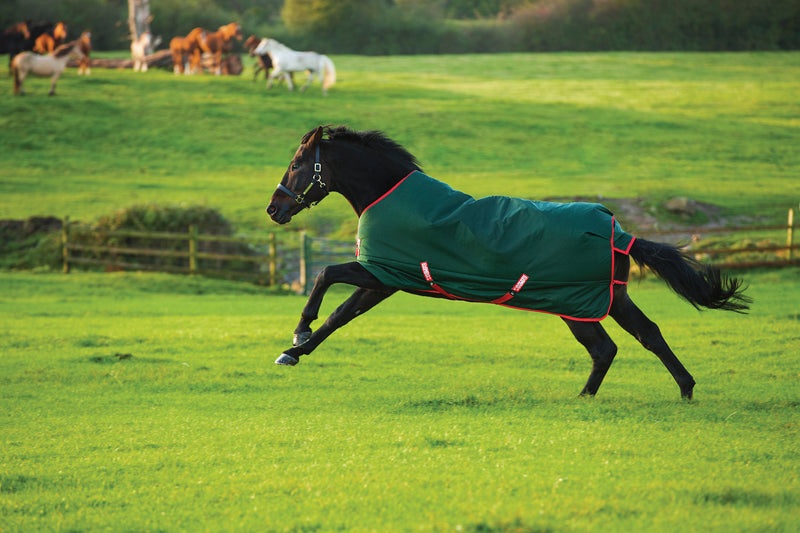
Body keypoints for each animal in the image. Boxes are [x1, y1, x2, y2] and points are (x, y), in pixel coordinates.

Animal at [265, 125, 751, 400]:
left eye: (297, 164)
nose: (274, 208)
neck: (389, 193)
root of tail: (618, 232)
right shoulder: (384, 280)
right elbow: (340, 317)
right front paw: (295, 352)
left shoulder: (381, 273)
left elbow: (325, 277)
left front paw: (298, 333)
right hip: (606, 299)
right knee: (642, 336)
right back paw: (680, 390)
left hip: (579, 304)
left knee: (607, 347)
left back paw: (589, 397)